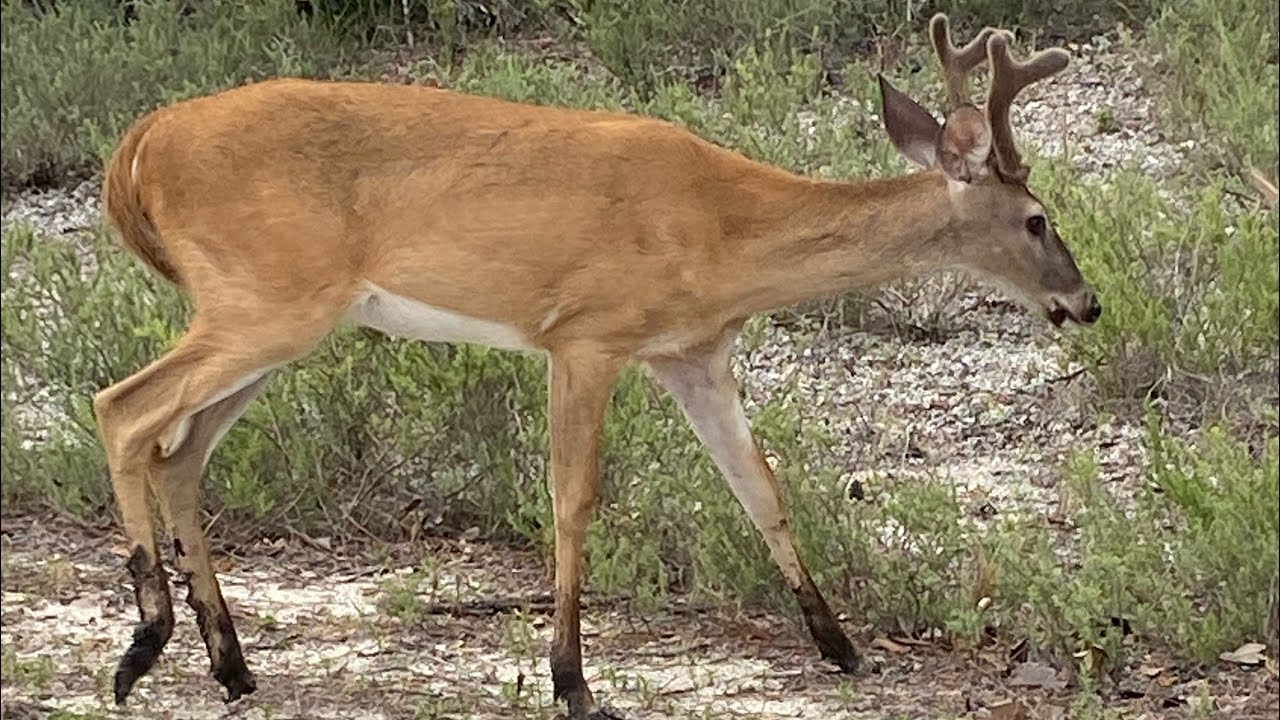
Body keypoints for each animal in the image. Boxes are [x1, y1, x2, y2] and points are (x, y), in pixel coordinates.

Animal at [93, 13, 1099, 718]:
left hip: (284, 316)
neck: (724, 230)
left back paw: (230, 665)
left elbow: (760, 488)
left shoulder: (692, 353)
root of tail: (138, 143)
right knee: (123, 408)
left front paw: (841, 647)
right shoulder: (586, 334)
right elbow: (572, 498)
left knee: (180, 450)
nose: (1086, 302)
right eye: (1037, 219)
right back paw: (145, 643)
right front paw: (571, 680)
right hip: (263, 299)